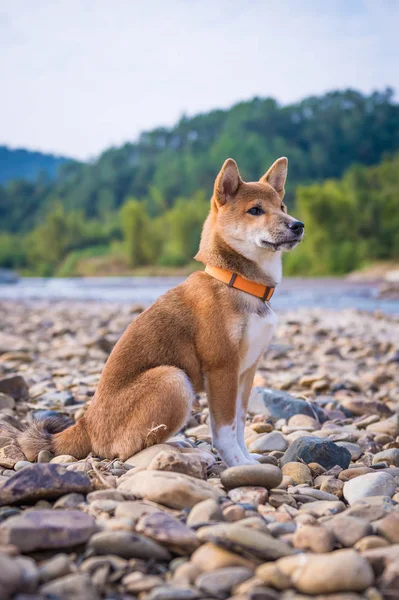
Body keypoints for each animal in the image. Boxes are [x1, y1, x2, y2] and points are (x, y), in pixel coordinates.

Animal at [20, 159, 304, 468]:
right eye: (255, 210)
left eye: (283, 206)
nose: (298, 225)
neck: (237, 281)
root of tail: (85, 425)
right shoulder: (222, 368)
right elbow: (225, 430)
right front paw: (237, 463)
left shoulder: (246, 371)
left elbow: (240, 424)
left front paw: (248, 459)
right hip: (173, 379)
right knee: (128, 451)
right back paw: (186, 451)